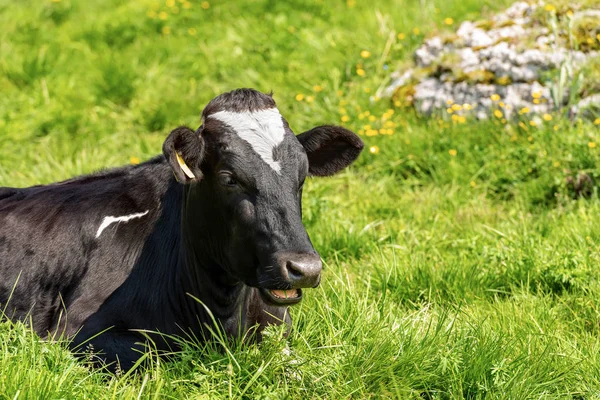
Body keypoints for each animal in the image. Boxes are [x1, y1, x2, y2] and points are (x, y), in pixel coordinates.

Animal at [0, 88, 364, 372]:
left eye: (302, 175)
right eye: (229, 178)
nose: (304, 268)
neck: (222, 317)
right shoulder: (76, 333)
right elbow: (152, 356)